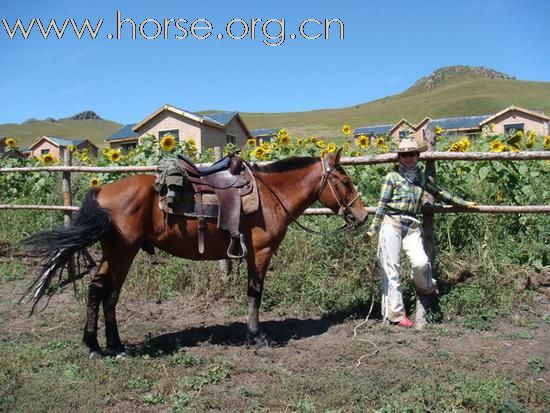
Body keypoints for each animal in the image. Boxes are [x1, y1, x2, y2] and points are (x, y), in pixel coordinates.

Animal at [24, 150, 370, 356]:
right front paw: (257, 338)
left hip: (117, 253)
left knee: (104, 293)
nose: (362, 216)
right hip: (122, 252)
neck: (272, 195)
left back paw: (108, 345)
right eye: (344, 180)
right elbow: (255, 293)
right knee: (103, 292)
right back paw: (103, 347)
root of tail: (101, 190)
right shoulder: (261, 252)